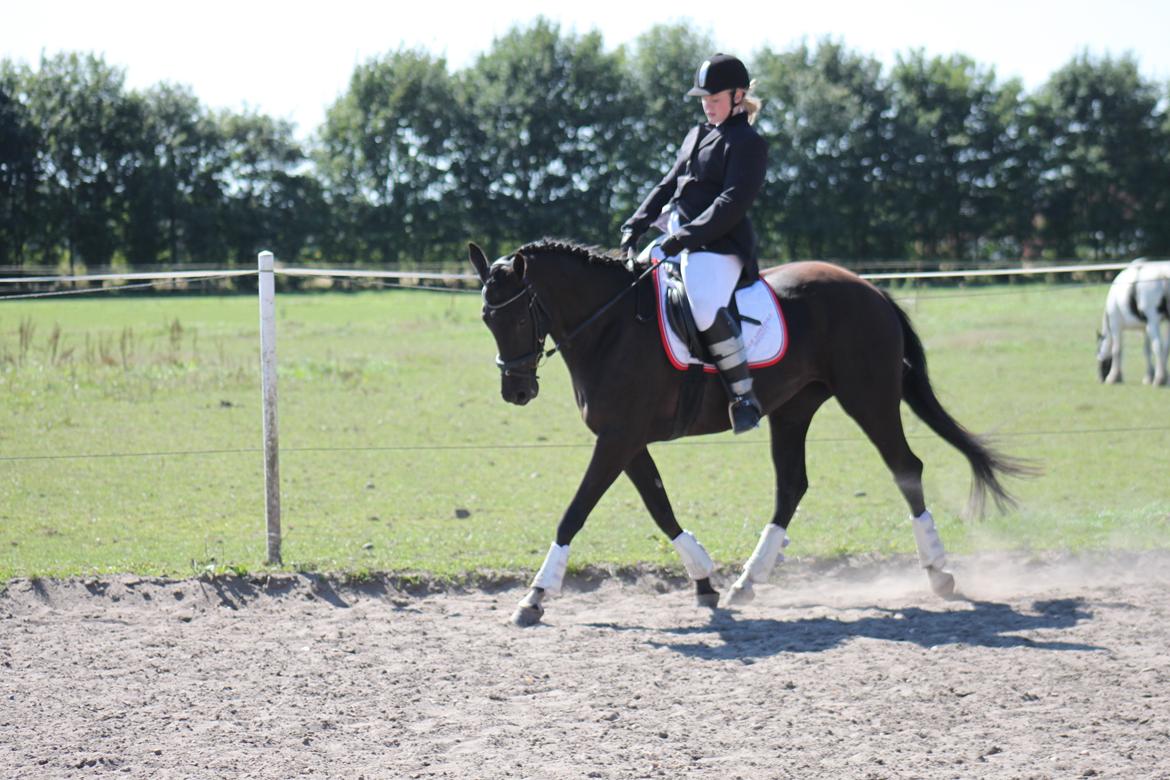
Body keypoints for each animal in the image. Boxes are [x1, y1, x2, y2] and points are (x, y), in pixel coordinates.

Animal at [468, 240, 1030, 627]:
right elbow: (659, 506)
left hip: (867, 397)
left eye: (517, 315)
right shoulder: (625, 438)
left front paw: (536, 596)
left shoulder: (619, 437)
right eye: (486, 318)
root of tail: (868, 288)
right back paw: (747, 582)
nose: (516, 391)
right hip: (793, 410)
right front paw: (703, 580)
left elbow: (575, 511)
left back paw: (938, 573)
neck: (611, 326)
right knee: (792, 486)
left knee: (905, 469)